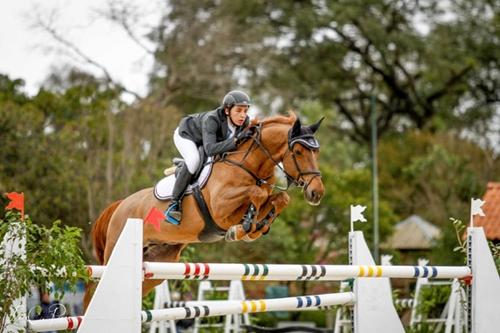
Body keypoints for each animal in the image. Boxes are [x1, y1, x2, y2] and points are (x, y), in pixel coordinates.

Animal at [84, 111, 326, 306]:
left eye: (316, 152)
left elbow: (280, 198)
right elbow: (255, 195)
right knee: (93, 288)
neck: (248, 165)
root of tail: (120, 205)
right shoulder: (221, 206)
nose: (317, 193)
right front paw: (243, 228)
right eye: (298, 151)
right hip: (115, 248)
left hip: (158, 262)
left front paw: (257, 227)